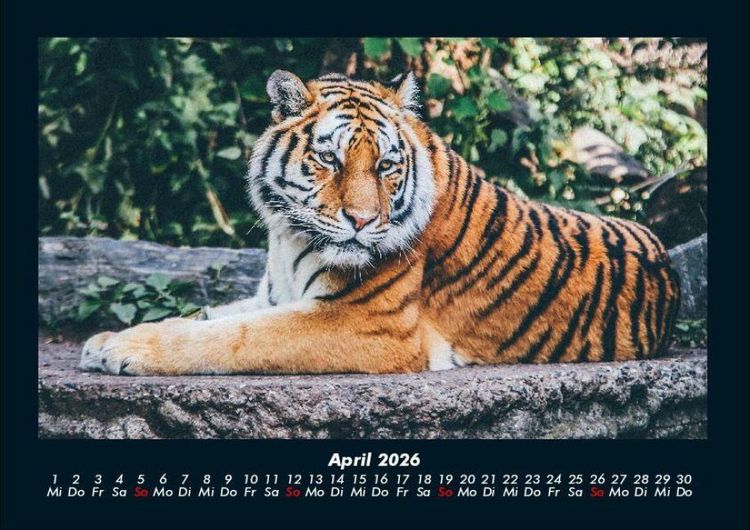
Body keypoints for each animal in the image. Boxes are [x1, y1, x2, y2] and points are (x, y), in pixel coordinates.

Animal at [80, 70, 681, 376]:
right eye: (330, 159)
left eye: (387, 166)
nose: (363, 221)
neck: (287, 237)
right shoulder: (274, 295)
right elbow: (207, 316)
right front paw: (106, 339)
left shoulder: (366, 323)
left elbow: (233, 337)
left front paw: (124, 350)